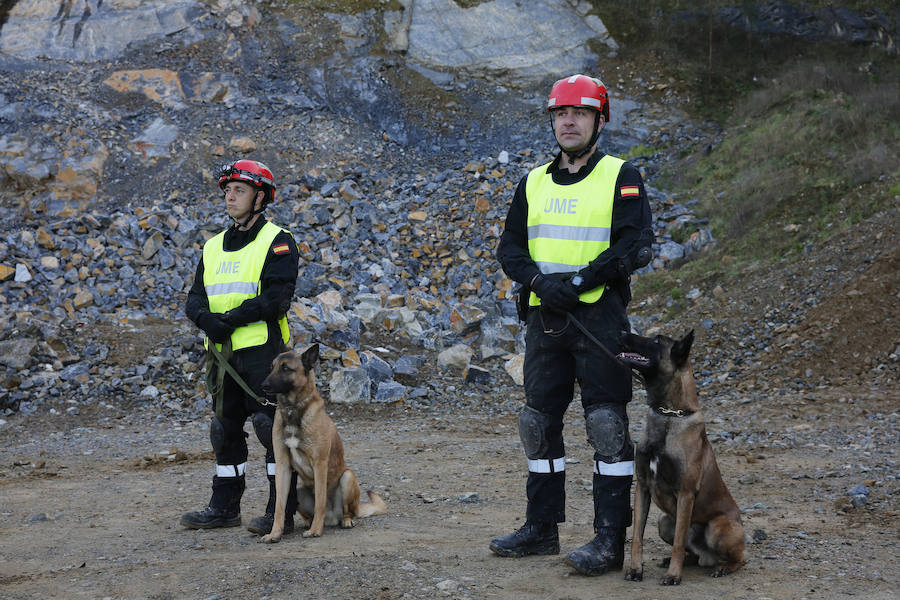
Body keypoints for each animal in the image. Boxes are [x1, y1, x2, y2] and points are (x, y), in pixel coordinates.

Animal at [258, 342, 388, 544]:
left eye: (286, 368)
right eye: (271, 368)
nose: (263, 385)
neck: (293, 409)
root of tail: (331, 518)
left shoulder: (320, 464)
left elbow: (319, 501)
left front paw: (315, 531)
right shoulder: (282, 466)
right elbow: (279, 506)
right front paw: (274, 533)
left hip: (347, 477)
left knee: (348, 512)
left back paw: (343, 521)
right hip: (299, 490)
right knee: (305, 510)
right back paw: (308, 523)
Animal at [620, 330, 744, 584]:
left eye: (656, 341)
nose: (622, 332)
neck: (669, 415)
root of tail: (709, 557)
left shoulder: (685, 494)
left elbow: (678, 541)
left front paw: (673, 575)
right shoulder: (642, 487)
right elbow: (637, 536)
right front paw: (636, 569)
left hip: (718, 528)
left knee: (741, 558)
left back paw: (724, 567)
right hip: (665, 521)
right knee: (691, 552)